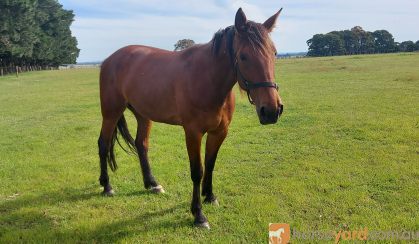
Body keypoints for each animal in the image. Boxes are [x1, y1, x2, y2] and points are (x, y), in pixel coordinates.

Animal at [97, 8, 284, 229]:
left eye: (274, 53)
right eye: (244, 56)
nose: (271, 110)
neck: (208, 80)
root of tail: (110, 59)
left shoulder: (219, 132)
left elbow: (210, 164)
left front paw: (210, 196)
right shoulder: (193, 133)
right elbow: (197, 170)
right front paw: (198, 215)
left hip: (143, 115)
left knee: (141, 144)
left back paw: (152, 184)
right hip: (111, 112)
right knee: (103, 144)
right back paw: (107, 186)